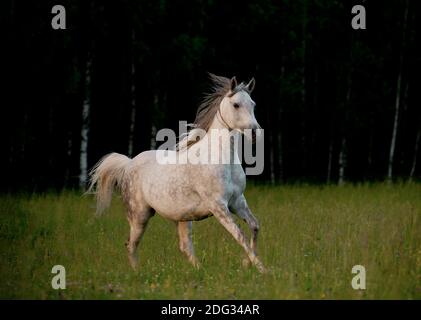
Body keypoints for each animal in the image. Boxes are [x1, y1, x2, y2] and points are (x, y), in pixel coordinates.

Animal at [89, 74, 266, 272]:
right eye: (236, 104)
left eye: (253, 104)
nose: (254, 133)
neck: (221, 159)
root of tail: (128, 164)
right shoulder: (219, 206)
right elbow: (240, 235)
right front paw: (262, 270)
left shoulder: (237, 201)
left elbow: (254, 226)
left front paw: (247, 263)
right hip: (139, 215)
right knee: (131, 245)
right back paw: (137, 273)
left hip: (182, 217)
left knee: (185, 246)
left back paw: (199, 271)